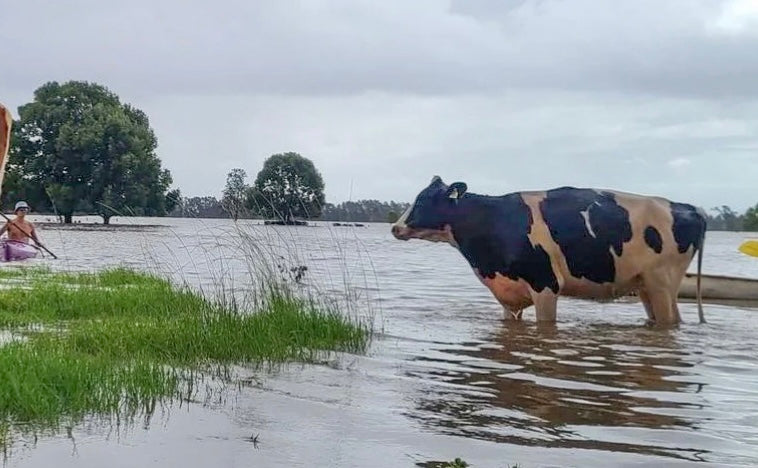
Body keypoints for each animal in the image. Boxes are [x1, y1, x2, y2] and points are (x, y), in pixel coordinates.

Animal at [391, 176, 706, 326]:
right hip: (645, 286)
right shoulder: (508, 292)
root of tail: (689, 207)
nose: (395, 227)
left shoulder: (545, 284)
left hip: (662, 282)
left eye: (424, 200)